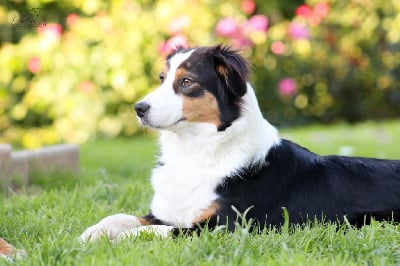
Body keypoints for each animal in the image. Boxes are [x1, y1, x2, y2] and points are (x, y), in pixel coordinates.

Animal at [79, 45, 398, 241]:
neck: (197, 150)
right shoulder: (165, 213)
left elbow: (155, 232)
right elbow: (121, 216)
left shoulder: (225, 226)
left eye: (186, 82)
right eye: (161, 78)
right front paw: (93, 232)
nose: (139, 108)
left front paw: (121, 239)